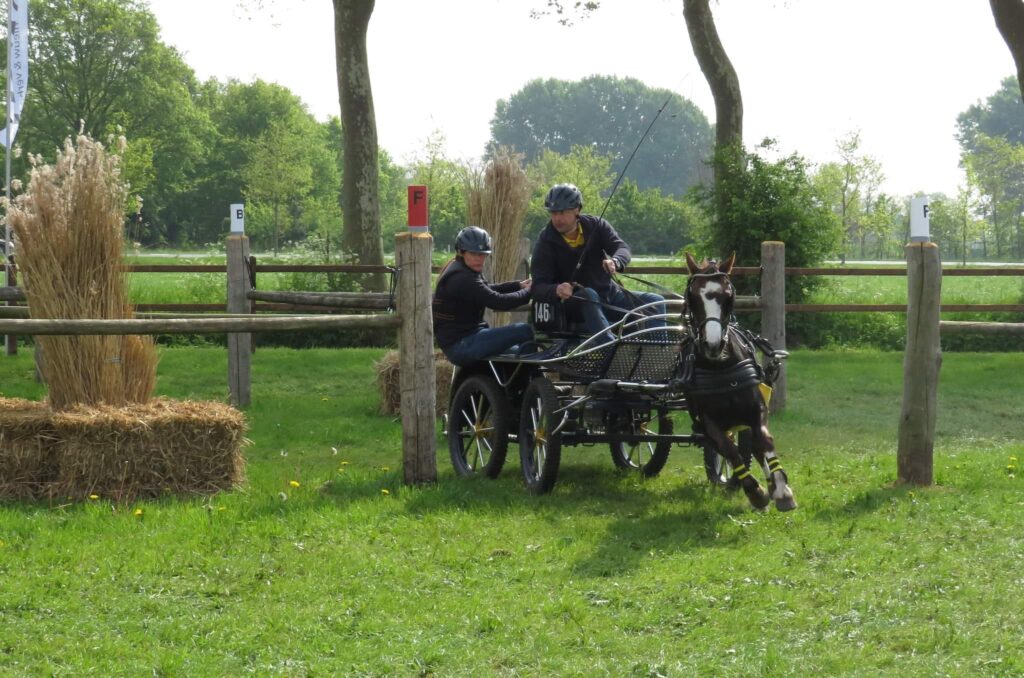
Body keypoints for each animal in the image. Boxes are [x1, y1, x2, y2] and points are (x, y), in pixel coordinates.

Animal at [679, 251, 798, 512]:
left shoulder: (756, 409)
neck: (721, 366)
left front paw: (782, 489)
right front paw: (755, 492)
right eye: (693, 298)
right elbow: (729, 450)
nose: (713, 345)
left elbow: (764, 440)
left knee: (754, 446)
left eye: (728, 296)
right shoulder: (708, 422)